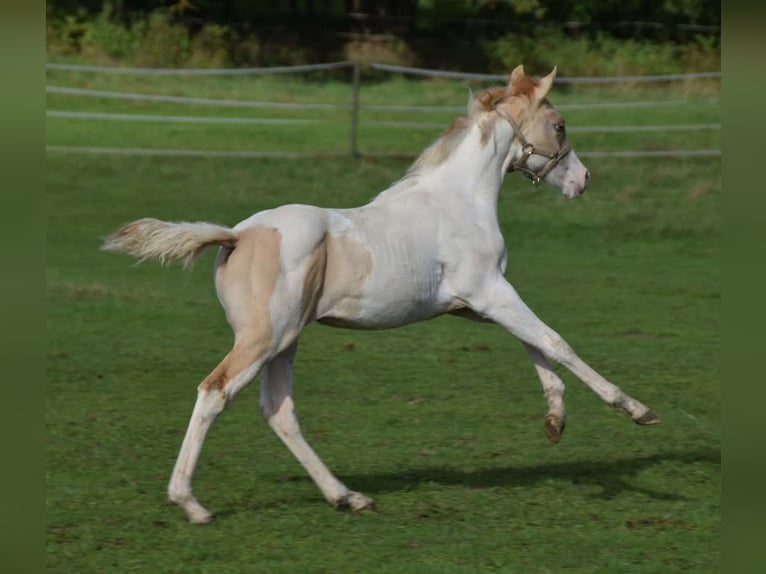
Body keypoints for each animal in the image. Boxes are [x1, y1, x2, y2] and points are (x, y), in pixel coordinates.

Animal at [103, 65, 660, 524]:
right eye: (559, 125)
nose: (583, 179)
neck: (460, 201)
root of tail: (236, 236)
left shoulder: (477, 306)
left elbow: (535, 345)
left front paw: (554, 421)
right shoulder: (490, 293)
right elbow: (556, 341)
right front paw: (635, 409)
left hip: (286, 341)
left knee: (279, 411)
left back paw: (348, 497)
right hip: (264, 338)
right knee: (215, 392)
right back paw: (191, 504)